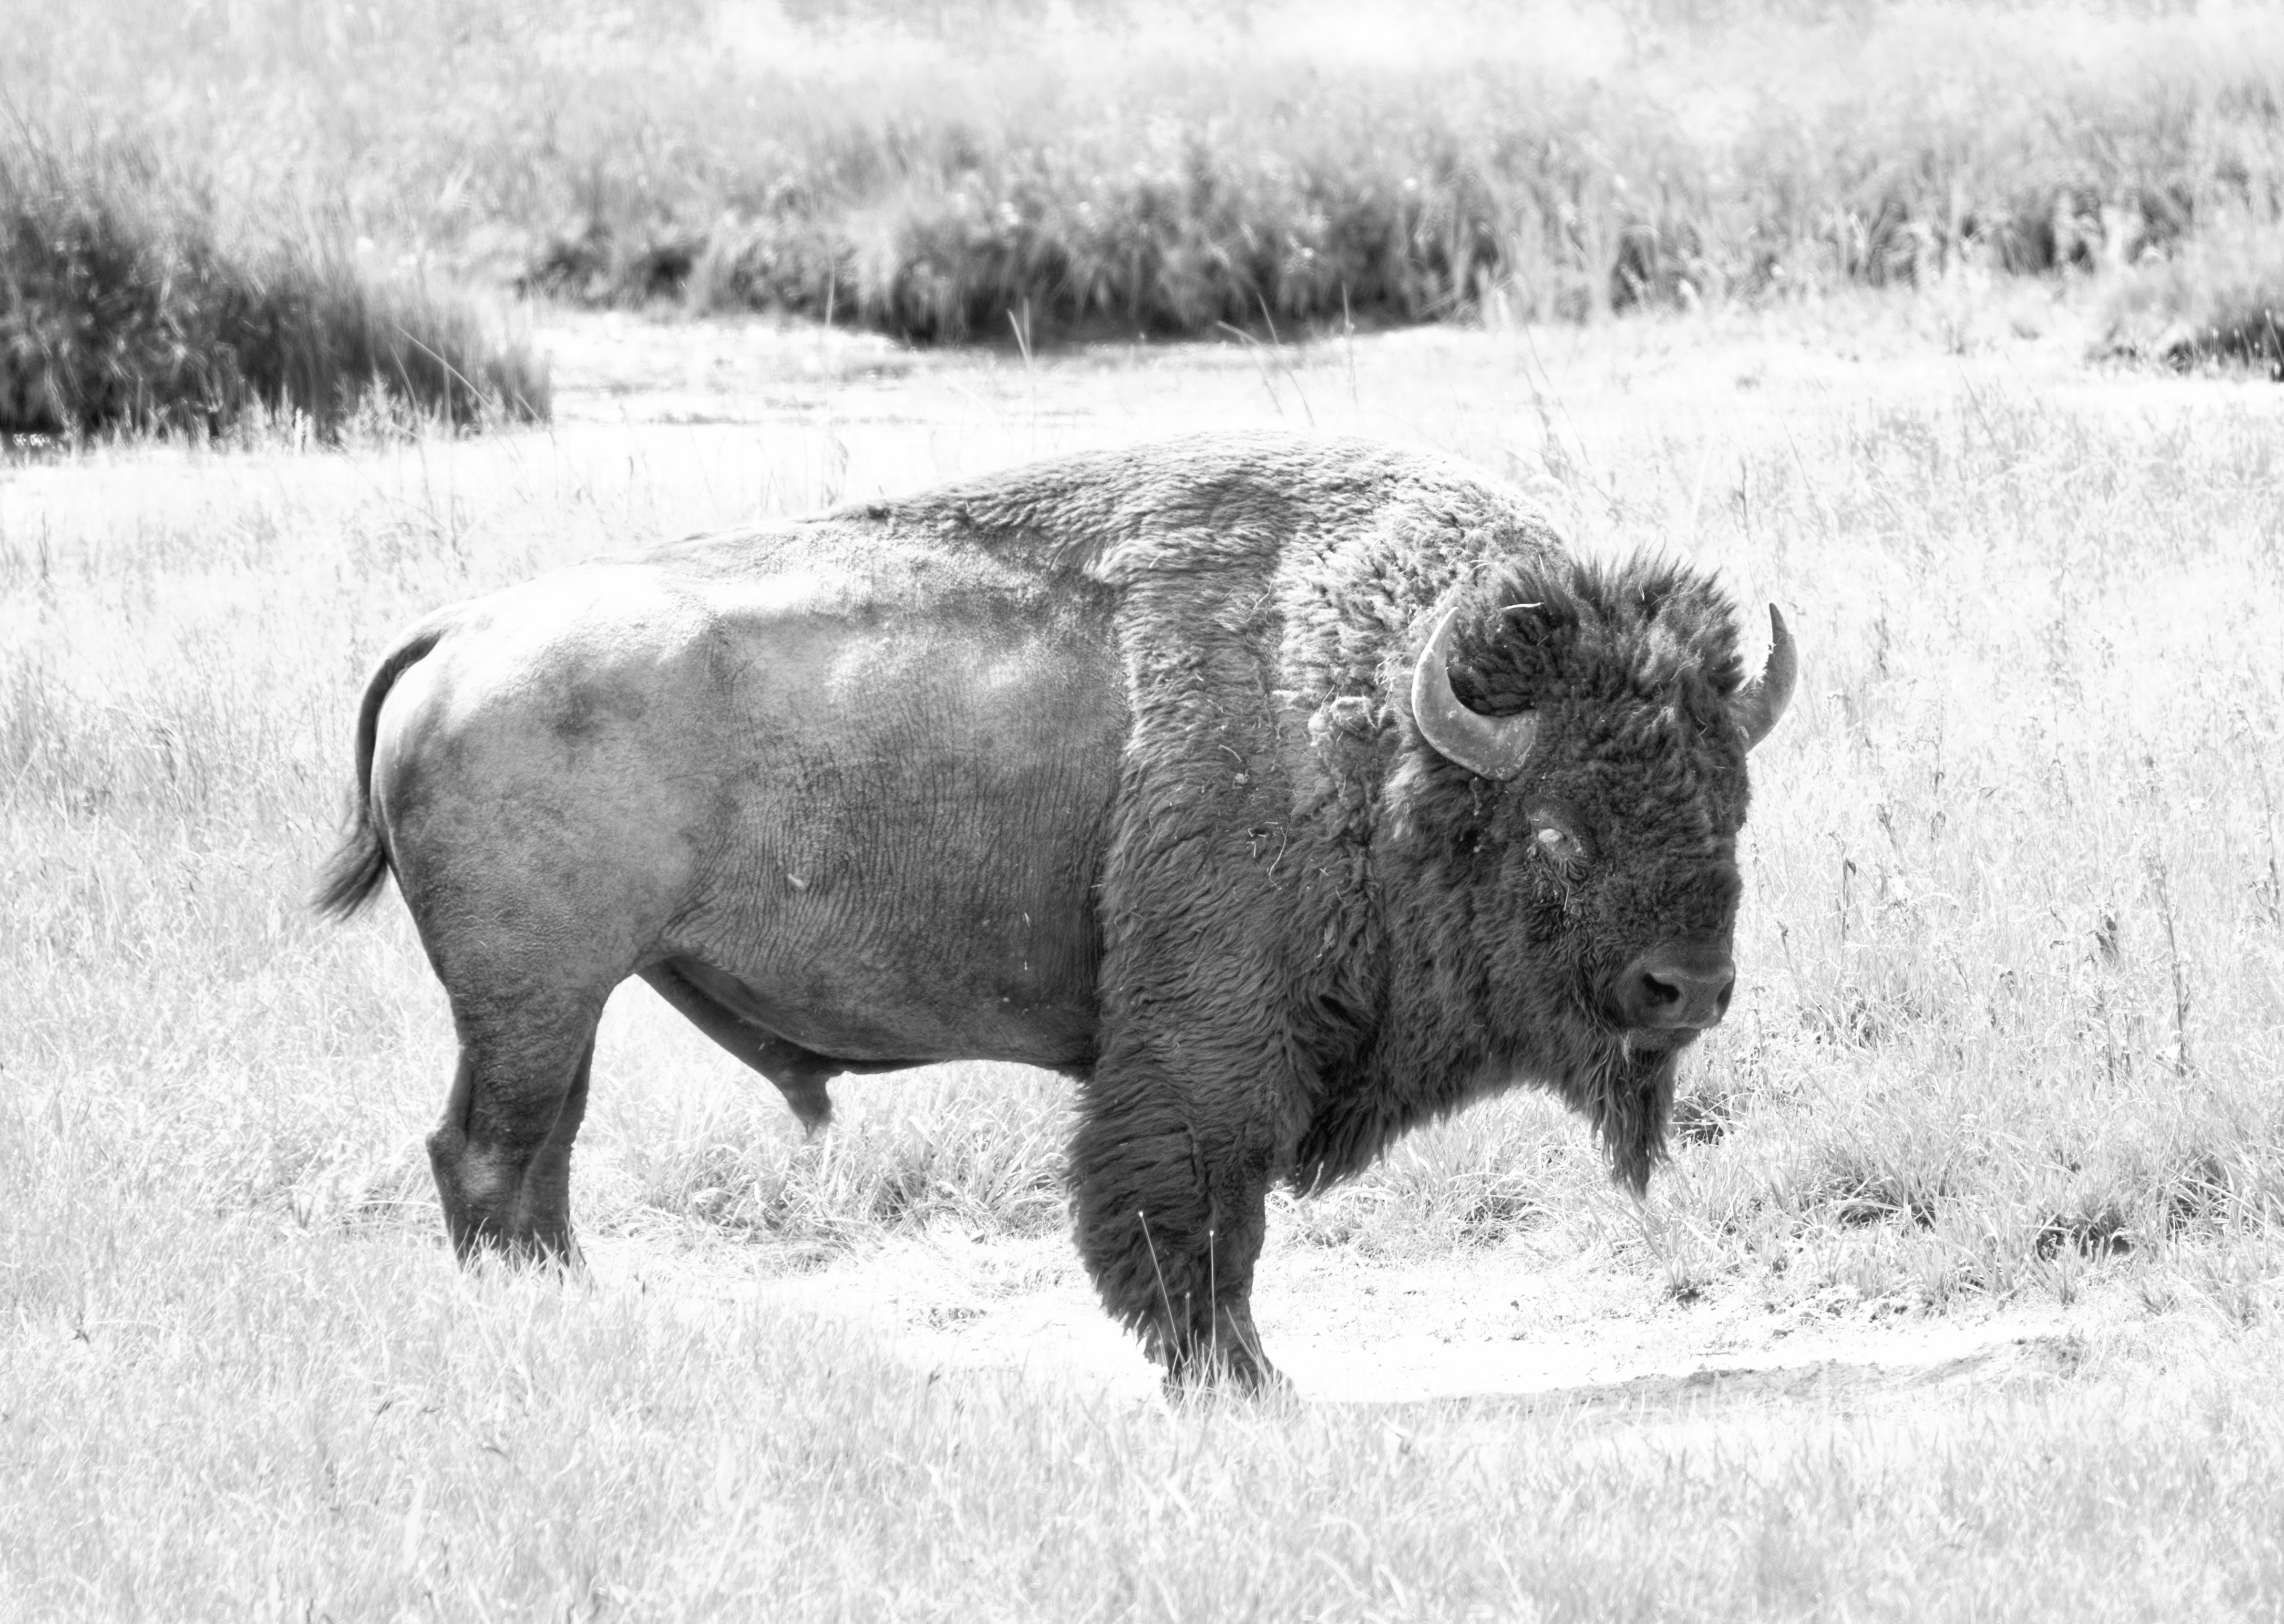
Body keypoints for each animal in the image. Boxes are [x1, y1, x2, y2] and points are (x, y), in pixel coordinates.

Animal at [317, 430, 1793, 1387]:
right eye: (1555, 830)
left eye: (1729, 805)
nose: (1686, 988)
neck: (1368, 720)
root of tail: (456, 632)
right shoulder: (1205, 1060)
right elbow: (1195, 1229)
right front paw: (1244, 1388)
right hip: (536, 999)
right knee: (491, 1155)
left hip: (560, 1008)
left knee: (532, 1157)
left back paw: (570, 1310)